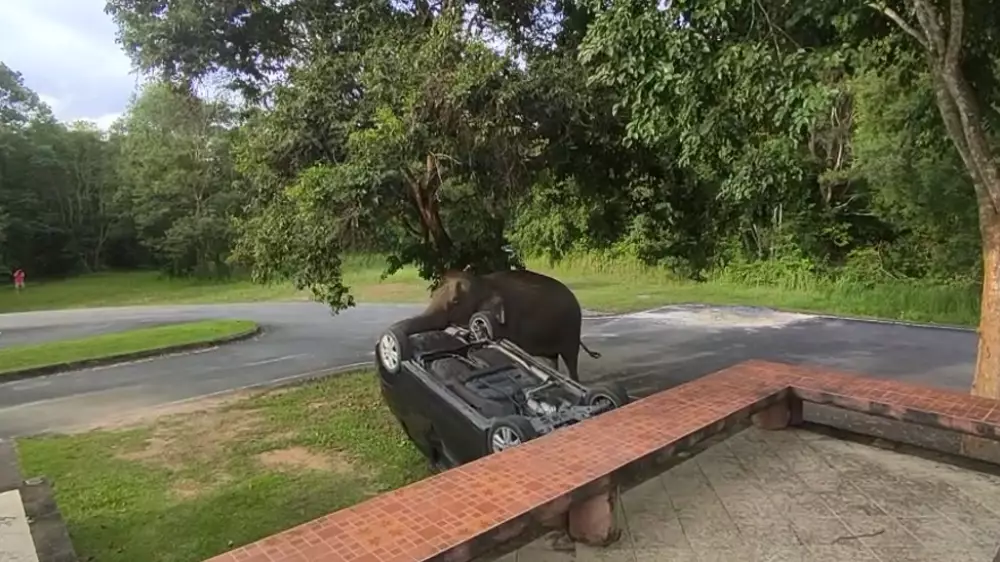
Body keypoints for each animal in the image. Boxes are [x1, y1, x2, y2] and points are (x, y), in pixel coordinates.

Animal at [386, 266, 596, 380]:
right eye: (434, 294)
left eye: (455, 302)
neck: (484, 282)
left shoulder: (508, 322)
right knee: (551, 359)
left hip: (571, 328)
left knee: (570, 358)